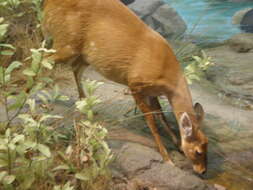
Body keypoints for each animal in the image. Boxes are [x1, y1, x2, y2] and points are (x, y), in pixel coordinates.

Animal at [42, 0, 209, 174]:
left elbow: (160, 115)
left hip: (83, 55)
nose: (203, 171)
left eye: (207, 144)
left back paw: (85, 105)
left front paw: (177, 144)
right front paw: (167, 159)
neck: (167, 75)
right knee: (43, 57)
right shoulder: (135, 84)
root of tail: (46, 5)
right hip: (66, 42)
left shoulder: (151, 92)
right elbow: (151, 120)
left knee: (74, 69)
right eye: (198, 151)